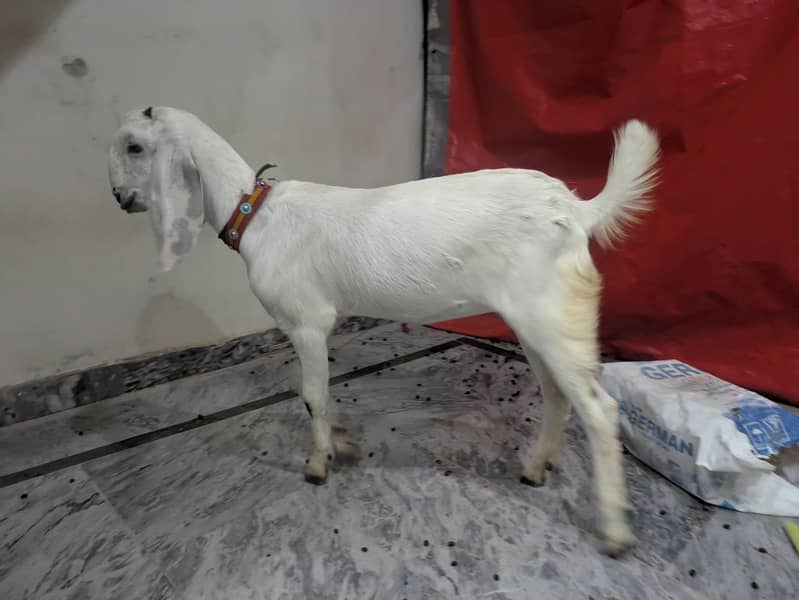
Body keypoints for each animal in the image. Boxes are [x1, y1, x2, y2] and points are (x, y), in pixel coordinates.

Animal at [107, 106, 660, 556]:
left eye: (134, 146)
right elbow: (321, 394)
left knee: (600, 408)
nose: (118, 198)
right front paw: (340, 445)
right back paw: (536, 467)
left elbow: (311, 394)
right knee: (558, 395)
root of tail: (576, 210)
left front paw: (318, 463)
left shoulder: (307, 322)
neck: (257, 215)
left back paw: (614, 532)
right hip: (535, 320)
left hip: (552, 312)